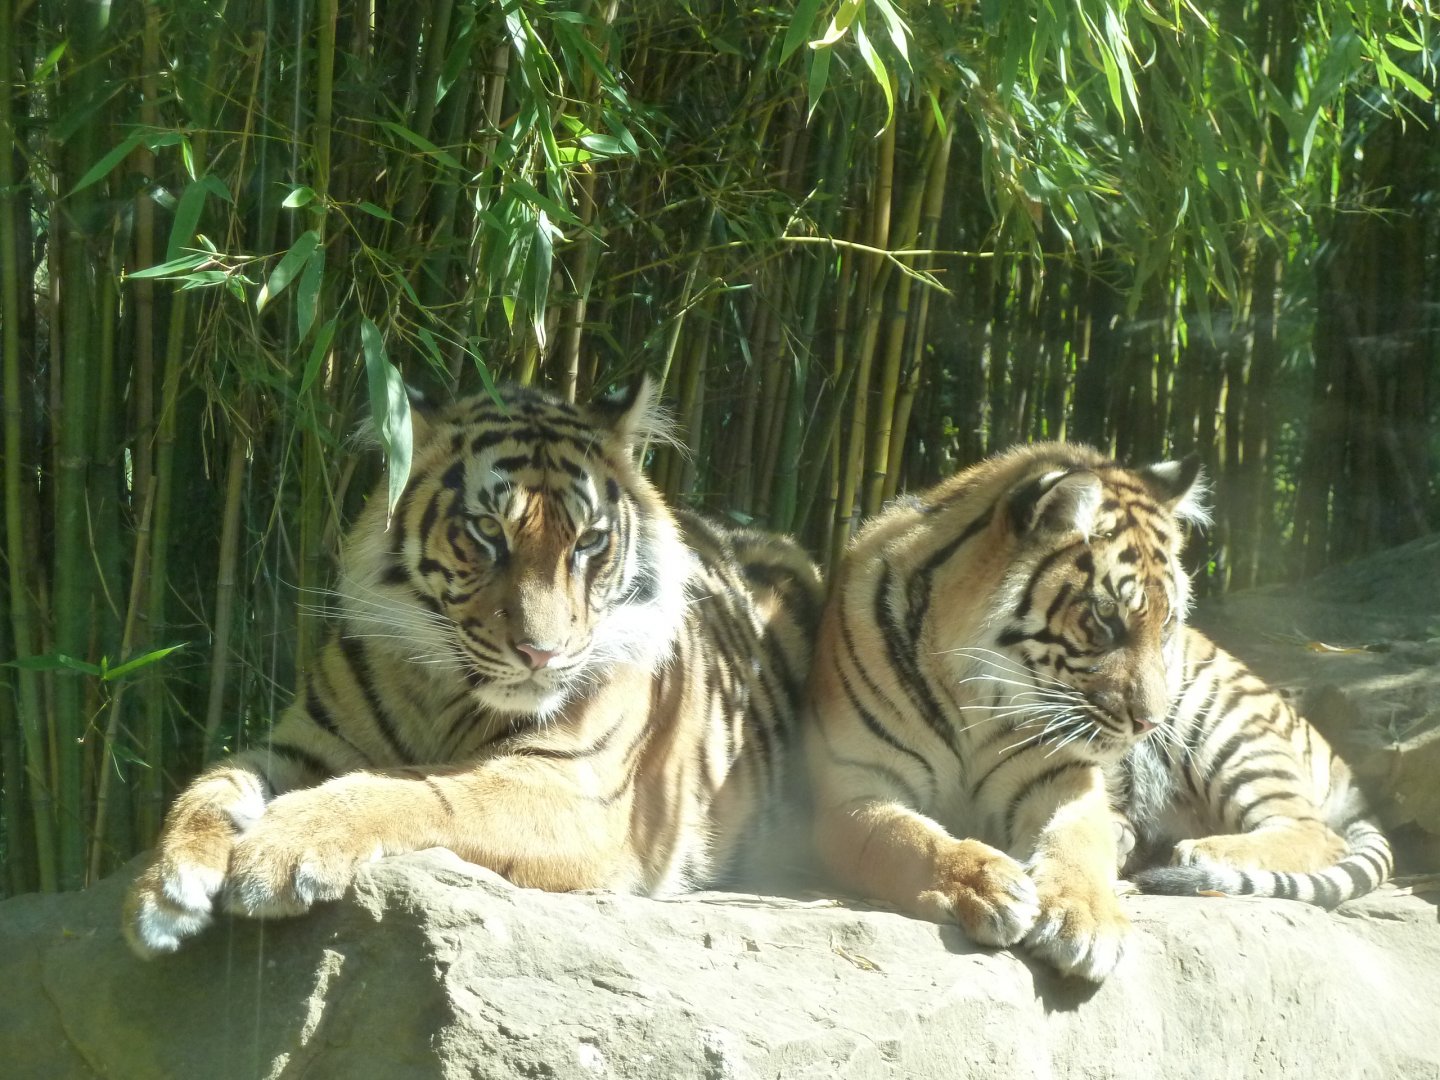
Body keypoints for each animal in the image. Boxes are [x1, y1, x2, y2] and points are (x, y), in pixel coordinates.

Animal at [124, 378, 822, 958]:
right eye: (487, 531)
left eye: (589, 542)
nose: (541, 653)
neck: (438, 688)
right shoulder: (306, 742)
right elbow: (212, 780)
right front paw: (165, 888)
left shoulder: (578, 788)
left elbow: (419, 789)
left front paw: (276, 852)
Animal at [804, 441, 1392, 982]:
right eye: (1106, 618)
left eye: (1168, 622)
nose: (1150, 722)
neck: (973, 693)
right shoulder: (848, 792)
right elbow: (907, 839)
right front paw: (988, 885)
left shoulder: (1063, 777)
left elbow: (1080, 842)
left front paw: (1084, 922)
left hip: (1225, 726)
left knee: (1317, 831)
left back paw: (1200, 853)